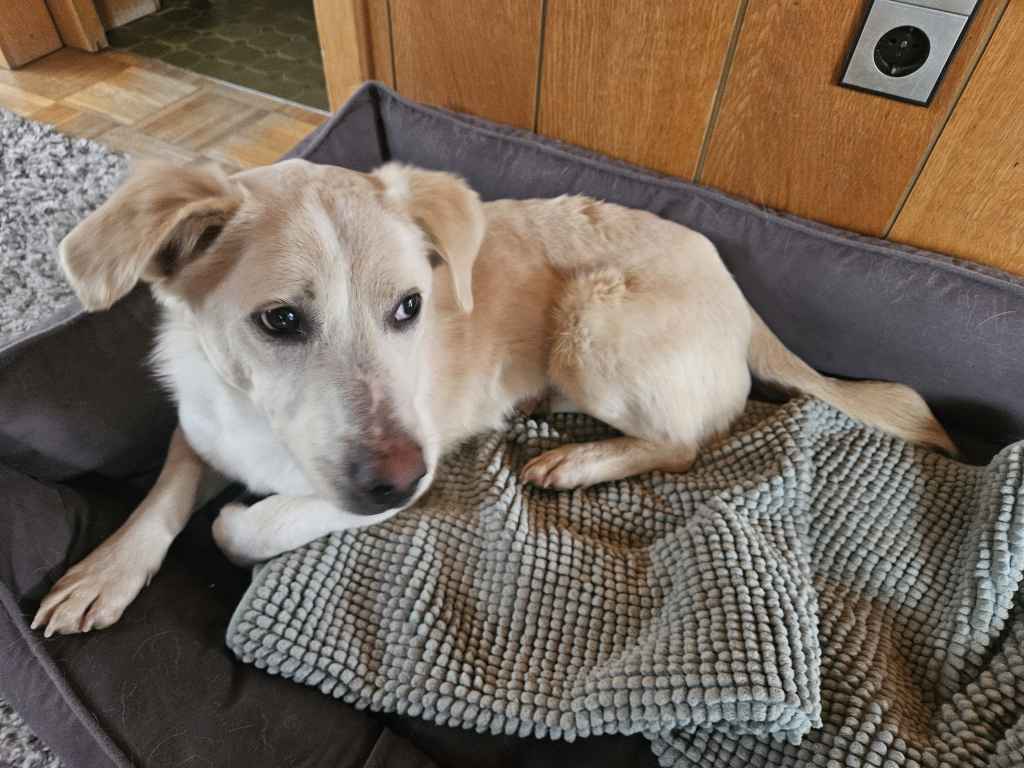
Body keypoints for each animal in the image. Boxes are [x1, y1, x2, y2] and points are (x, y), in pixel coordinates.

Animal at [32, 159, 955, 637]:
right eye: (280, 319)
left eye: (410, 306)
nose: (397, 481)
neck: (257, 424)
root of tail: (742, 297)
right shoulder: (200, 425)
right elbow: (161, 494)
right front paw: (104, 573)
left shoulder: (392, 476)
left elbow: (251, 527)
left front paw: (234, 520)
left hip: (592, 327)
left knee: (686, 442)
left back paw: (577, 461)